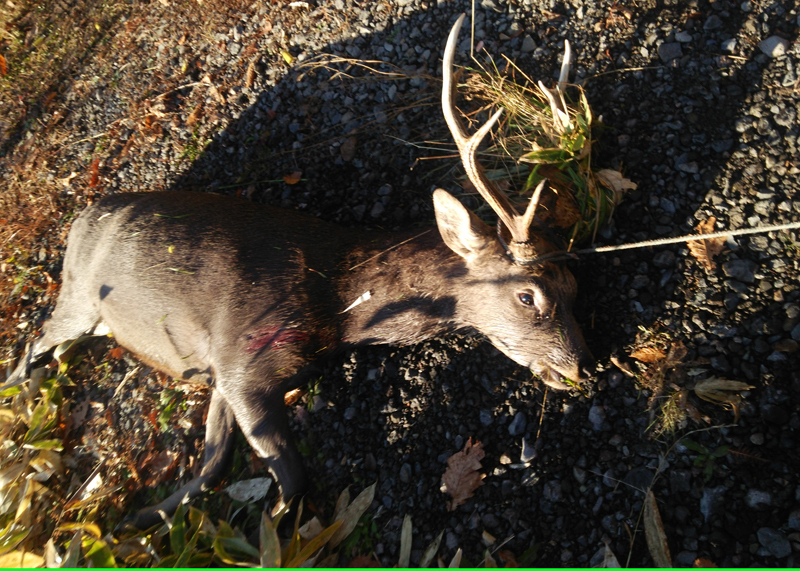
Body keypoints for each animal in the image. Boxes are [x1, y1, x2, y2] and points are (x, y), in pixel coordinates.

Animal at [2, 14, 592, 530]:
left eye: (572, 286)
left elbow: (212, 462)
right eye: (528, 295)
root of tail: (79, 220)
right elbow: (290, 481)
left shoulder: (223, 374)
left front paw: (144, 518)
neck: (336, 300)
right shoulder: (242, 358)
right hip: (77, 298)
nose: (578, 367)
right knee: (33, 346)